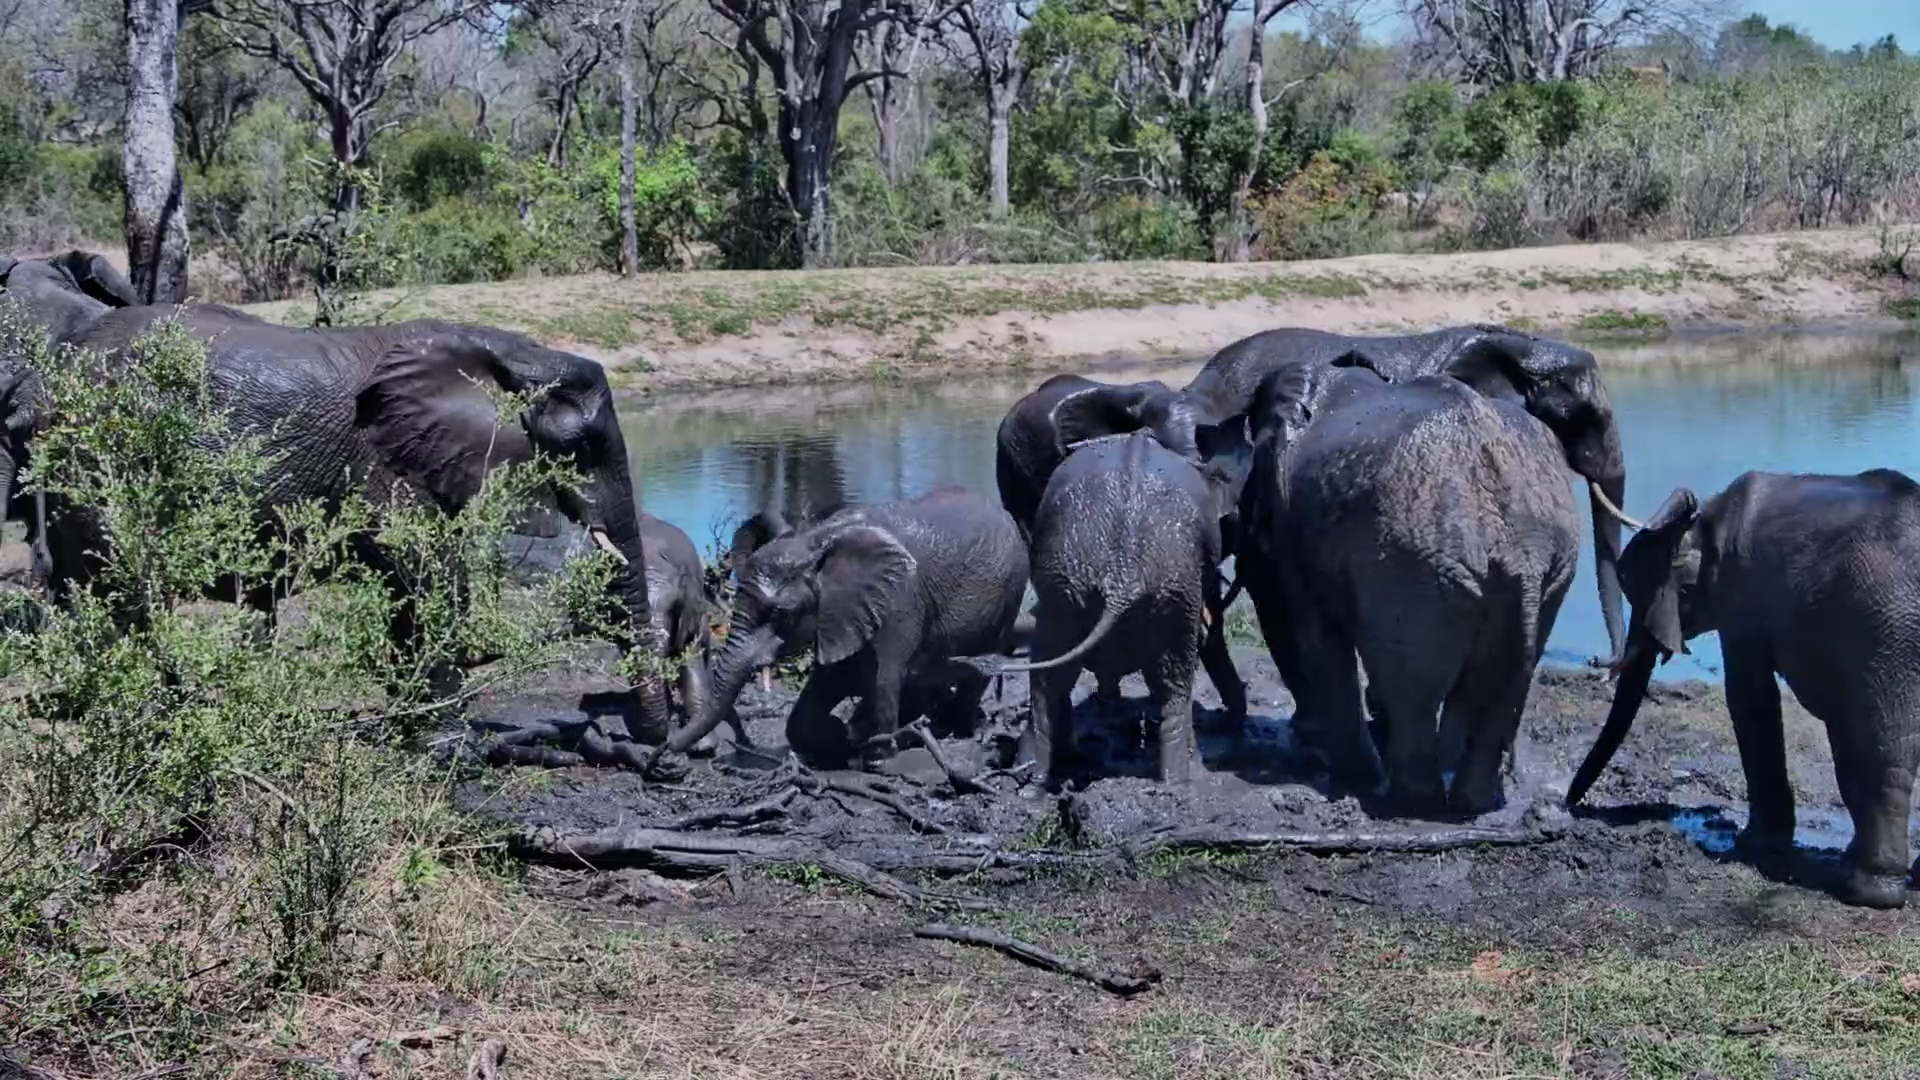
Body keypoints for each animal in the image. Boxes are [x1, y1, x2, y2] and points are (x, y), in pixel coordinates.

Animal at [56, 303, 673, 737]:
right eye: (579, 448)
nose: (639, 733)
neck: (511, 349)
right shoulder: (381, 456)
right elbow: (427, 571)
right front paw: (449, 732)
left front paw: (414, 718)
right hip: (96, 447)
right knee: (119, 575)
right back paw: (147, 709)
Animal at [675, 487, 1029, 769]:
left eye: (780, 614)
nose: (665, 750)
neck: (815, 541)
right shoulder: (840, 612)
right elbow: (831, 680)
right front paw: (843, 737)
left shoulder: (899, 599)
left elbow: (884, 677)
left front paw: (876, 756)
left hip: (1008, 592)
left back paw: (959, 726)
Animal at [1003, 426, 1252, 789]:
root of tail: (1123, 572)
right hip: (1153, 587)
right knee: (1172, 689)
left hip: (1084, 586)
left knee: (1050, 681)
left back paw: (1033, 777)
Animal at [1238, 361, 1579, 813]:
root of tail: (1516, 545)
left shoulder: (1295, 523)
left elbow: (1318, 638)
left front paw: (1350, 778)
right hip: (1547, 567)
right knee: (1496, 678)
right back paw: (1473, 801)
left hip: (1411, 568)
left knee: (1414, 688)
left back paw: (1407, 800)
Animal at [1566, 470, 1920, 909]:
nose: (1571, 804)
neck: (1703, 519)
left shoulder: (1740, 594)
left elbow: (1749, 696)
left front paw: (1751, 846)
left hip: (1888, 634)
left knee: (1883, 746)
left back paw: (1872, 895)